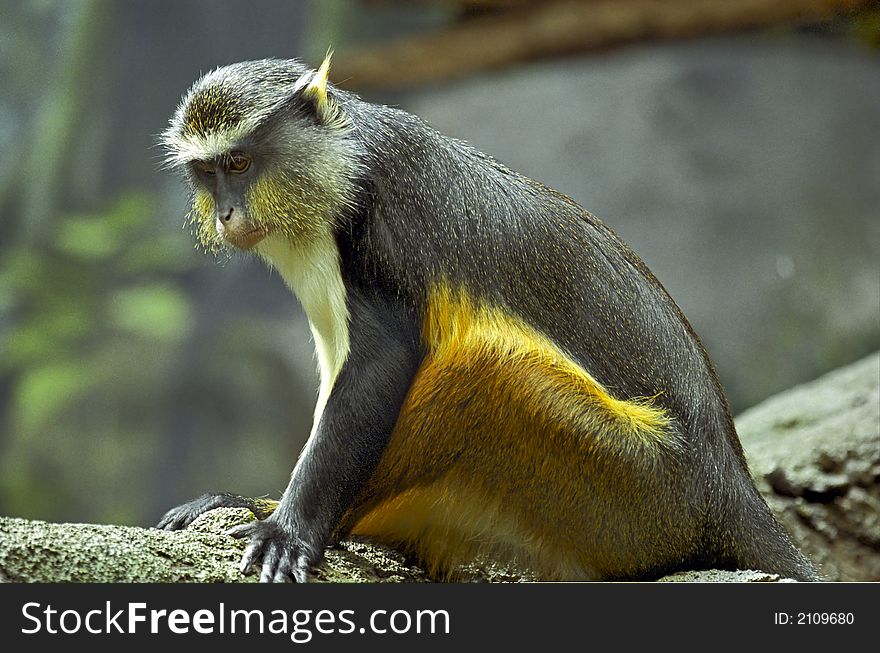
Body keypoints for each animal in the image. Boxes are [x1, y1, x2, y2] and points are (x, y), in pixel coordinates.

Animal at [156, 54, 820, 580]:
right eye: (207, 172)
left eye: (240, 165)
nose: (228, 213)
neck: (334, 163)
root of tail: (731, 491)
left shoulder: (374, 226)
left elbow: (380, 366)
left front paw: (287, 528)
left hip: (637, 489)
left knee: (486, 369)